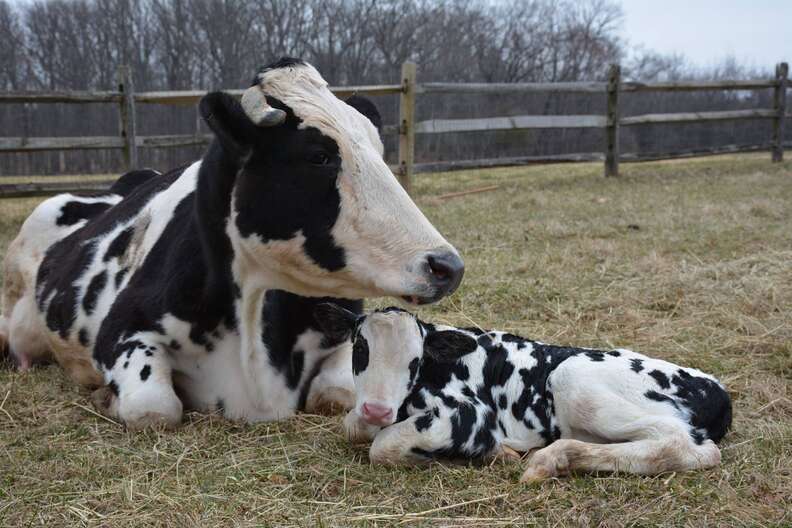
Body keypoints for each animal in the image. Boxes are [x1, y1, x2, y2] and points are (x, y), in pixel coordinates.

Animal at [0, 57, 464, 428]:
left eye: (378, 150)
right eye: (318, 156)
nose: (447, 266)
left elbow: (335, 394)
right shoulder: (121, 331)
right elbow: (153, 409)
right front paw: (107, 397)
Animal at [312, 304, 732, 480]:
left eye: (415, 360)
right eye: (360, 348)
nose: (377, 410)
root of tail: (716, 390)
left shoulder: (468, 413)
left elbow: (382, 446)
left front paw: (490, 452)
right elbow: (350, 426)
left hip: (575, 379)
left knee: (685, 445)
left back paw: (552, 459)